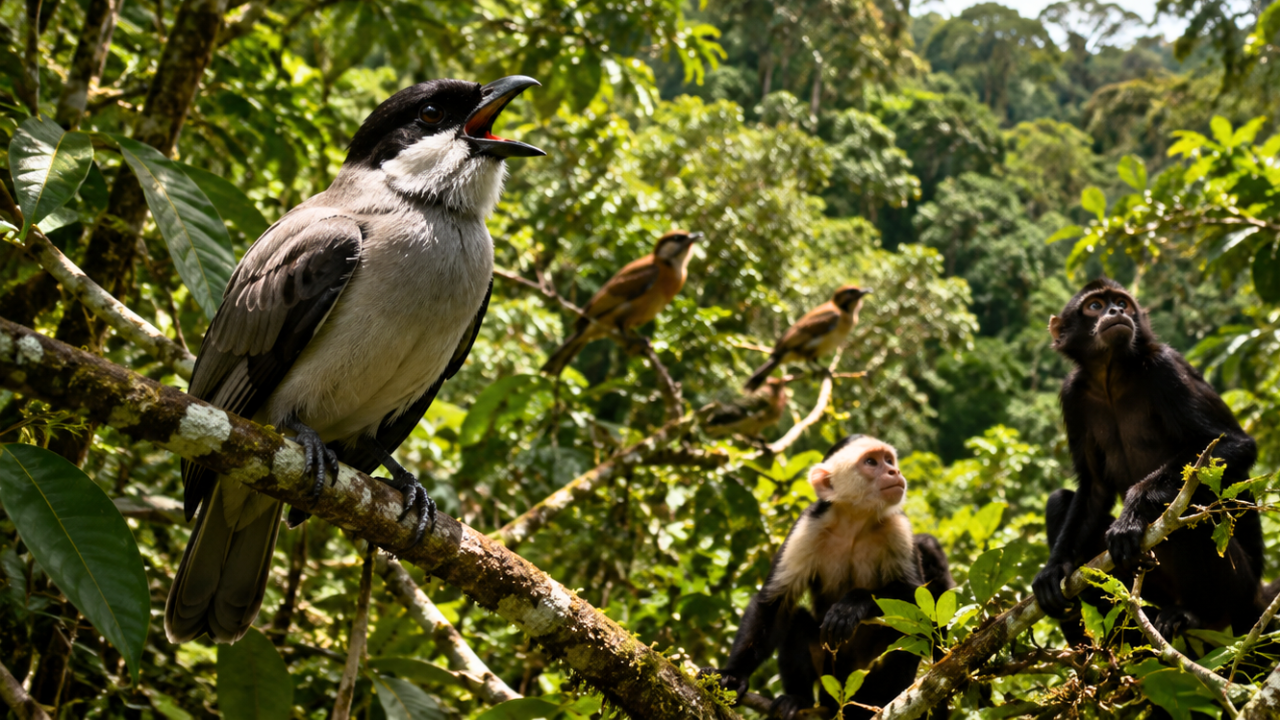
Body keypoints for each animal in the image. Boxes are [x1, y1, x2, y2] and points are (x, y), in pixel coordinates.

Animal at [702, 435, 954, 719]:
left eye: (889, 460)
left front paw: (853, 604)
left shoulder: (897, 525)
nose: (895, 472)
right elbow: (773, 602)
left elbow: (915, 601)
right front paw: (734, 675)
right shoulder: (808, 525)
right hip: (828, 679)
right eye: (871, 462)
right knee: (796, 618)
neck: (855, 521)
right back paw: (797, 699)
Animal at [1032, 278, 1264, 642]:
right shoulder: (1072, 394)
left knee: (1187, 511)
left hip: (1239, 589)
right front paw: (1054, 568)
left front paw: (1133, 511)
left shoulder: (1165, 366)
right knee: (1059, 500)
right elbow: (1093, 488)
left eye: (1122, 303)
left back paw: (1193, 613)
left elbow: (1236, 444)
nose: (1116, 311)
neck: (1111, 377)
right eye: (1094, 306)